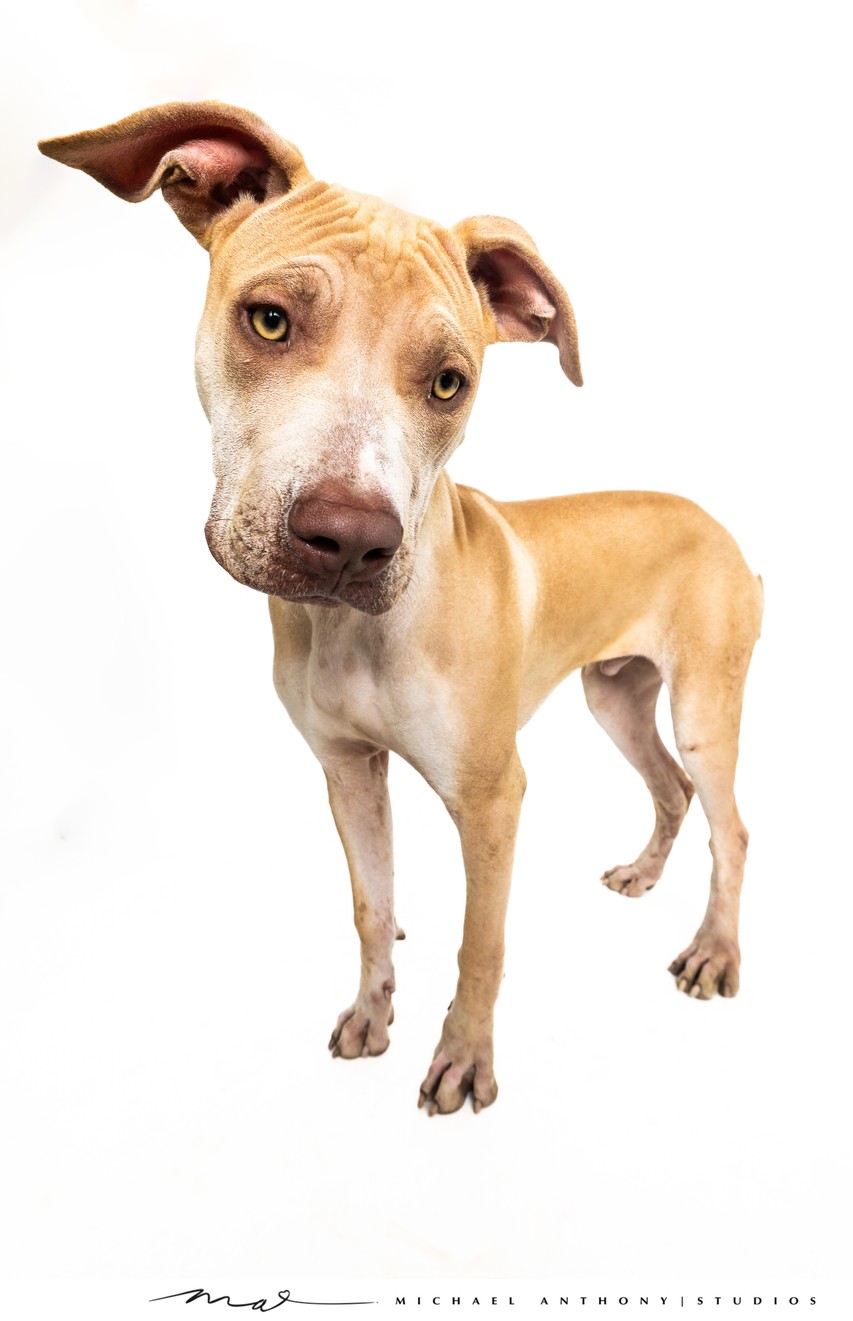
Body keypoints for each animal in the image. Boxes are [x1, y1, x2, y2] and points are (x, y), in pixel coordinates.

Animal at [40, 103, 765, 1114]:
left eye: (449, 382)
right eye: (270, 319)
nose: (349, 541)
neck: (358, 629)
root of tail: (720, 524)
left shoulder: (493, 797)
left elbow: (481, 943)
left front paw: (462, 1060)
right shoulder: (347, 769)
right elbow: (370, 904)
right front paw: (371, 1014)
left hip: (703, 705)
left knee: (727, 822)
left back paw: (713, 952)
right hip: (614, 696)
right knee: (669, 790)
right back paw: (641, 874)